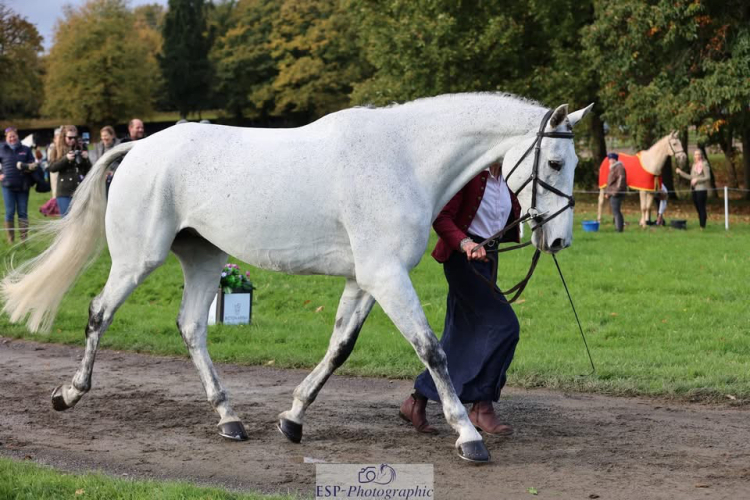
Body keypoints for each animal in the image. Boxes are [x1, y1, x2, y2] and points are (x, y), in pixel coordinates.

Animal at [1, 93, 592, 463]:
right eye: (555, 163)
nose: (559, 241)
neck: (403, 160)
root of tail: (140, 146)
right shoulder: (386, 276)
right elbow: (432, 349)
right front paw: (468, 435)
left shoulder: (366, 280)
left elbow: (339, 348)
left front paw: (292, 418)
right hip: (137, 259)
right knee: (99, 312)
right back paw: (69, 393)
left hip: (204, 258)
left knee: (192, 327)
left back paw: (229, 419)